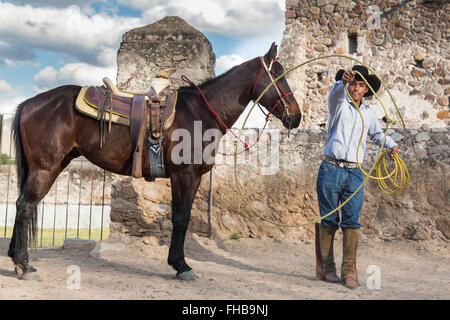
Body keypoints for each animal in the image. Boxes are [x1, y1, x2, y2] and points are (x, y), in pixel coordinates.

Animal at [7, 42, 300, 280]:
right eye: (279, 76)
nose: (296, 116)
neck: (199, 114)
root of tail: (29, 103)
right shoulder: (184, 176)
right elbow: (180, 219)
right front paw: (181, 266)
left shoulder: (194, 178)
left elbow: (184, 217)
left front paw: (178, 263)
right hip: (45, 168)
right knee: (24, 206)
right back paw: (25, 265)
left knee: (23, 205)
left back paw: (15, 259)